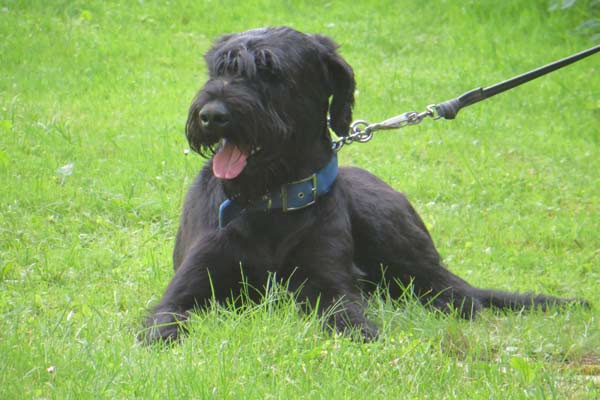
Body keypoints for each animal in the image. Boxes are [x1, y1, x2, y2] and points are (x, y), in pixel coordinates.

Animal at [144, 26, 580, 342]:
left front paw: (361, 334)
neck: (271, 200)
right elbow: (163, 322)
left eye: (271, 72)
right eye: (220, 69)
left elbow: (347, 315)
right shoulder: (185, 287)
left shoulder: (331, 284)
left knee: (459, 293)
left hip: (391, 228)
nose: (211, 115)